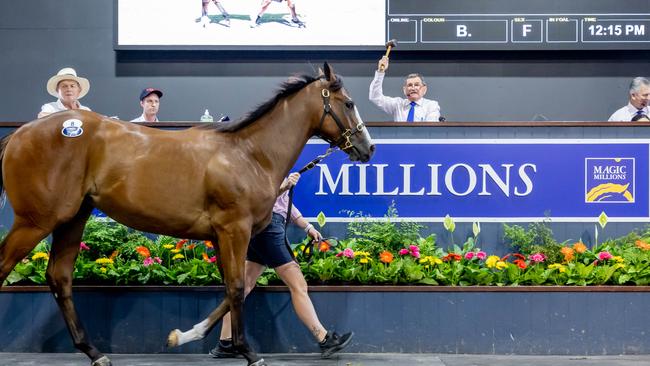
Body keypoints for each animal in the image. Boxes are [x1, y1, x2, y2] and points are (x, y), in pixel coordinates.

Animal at [0, 63, 374, 366]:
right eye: (349, 103)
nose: (368, 148)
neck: (249, 154)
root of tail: (20, 133)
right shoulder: (234, 230)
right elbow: (237, 288)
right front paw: (249, 353)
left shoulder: (226, 237)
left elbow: (231, 292)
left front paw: (183, 336)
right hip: (36, 221)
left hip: (72, 219)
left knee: (59, 278)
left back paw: (95, 353)